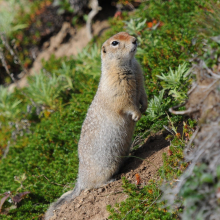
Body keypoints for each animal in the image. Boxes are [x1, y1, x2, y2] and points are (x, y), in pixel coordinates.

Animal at [44, 31, 148, 219]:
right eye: (115, 43)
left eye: (128, 33)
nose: (135, 40)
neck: (128, 63)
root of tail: (80, 180)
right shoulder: (118, 86)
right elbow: (126, 103)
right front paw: (137, 114)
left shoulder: (139, 73)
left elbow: (142, 92)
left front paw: (145, 106)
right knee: (93, 186)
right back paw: (109, 180)